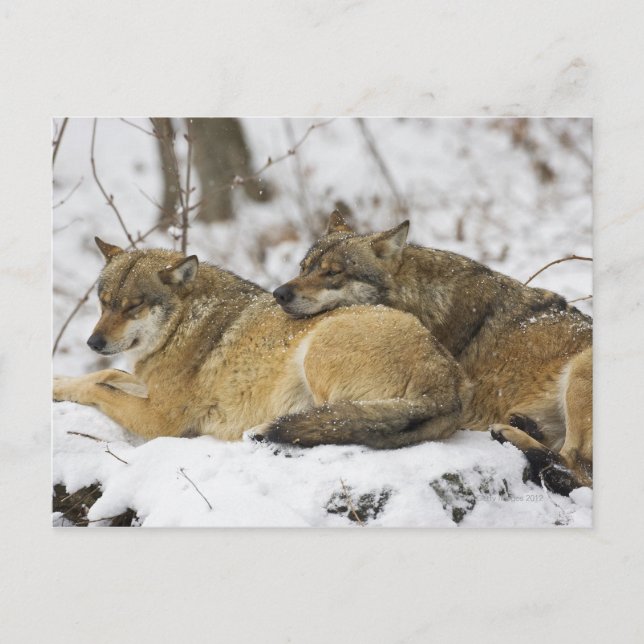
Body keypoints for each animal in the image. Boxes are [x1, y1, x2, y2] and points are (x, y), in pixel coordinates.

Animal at [53, 238, 469, 448]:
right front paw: (58, 383)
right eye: (104, 302)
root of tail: (449, 385)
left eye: (133, 306)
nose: (93, 342)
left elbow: (99, 387)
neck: (184, 325)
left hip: (317, 352)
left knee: (338, 424)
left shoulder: (160, 420)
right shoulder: (144, 384)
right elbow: (105, 374)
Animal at [273, 212, 593, 494]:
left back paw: (511, 434)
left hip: (579, 372)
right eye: (303, 267)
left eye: (332, 272)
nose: (279, 293)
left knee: (576, 471)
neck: (419, 297)